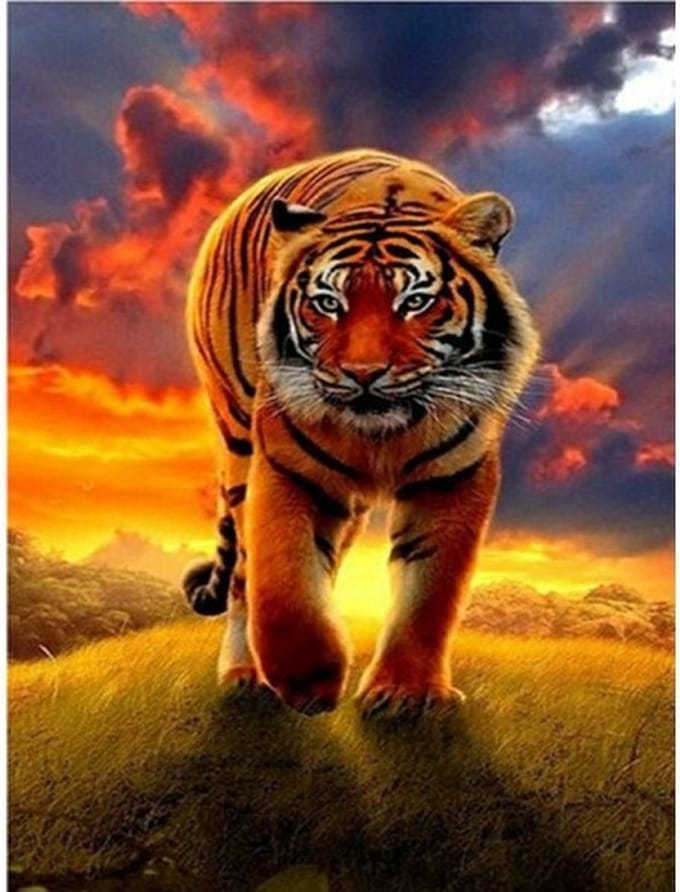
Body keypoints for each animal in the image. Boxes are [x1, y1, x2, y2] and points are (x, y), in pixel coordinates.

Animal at [184, 148, 539, 717]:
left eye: (415, 302)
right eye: (329, 303)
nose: (363, 373)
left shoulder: (453, 478)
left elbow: (430, 592)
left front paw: (405, 693)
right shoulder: (289, 467)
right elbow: (284, 578)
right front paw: (306, 679)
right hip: (237, 438)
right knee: (242, 573)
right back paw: (244, 674)